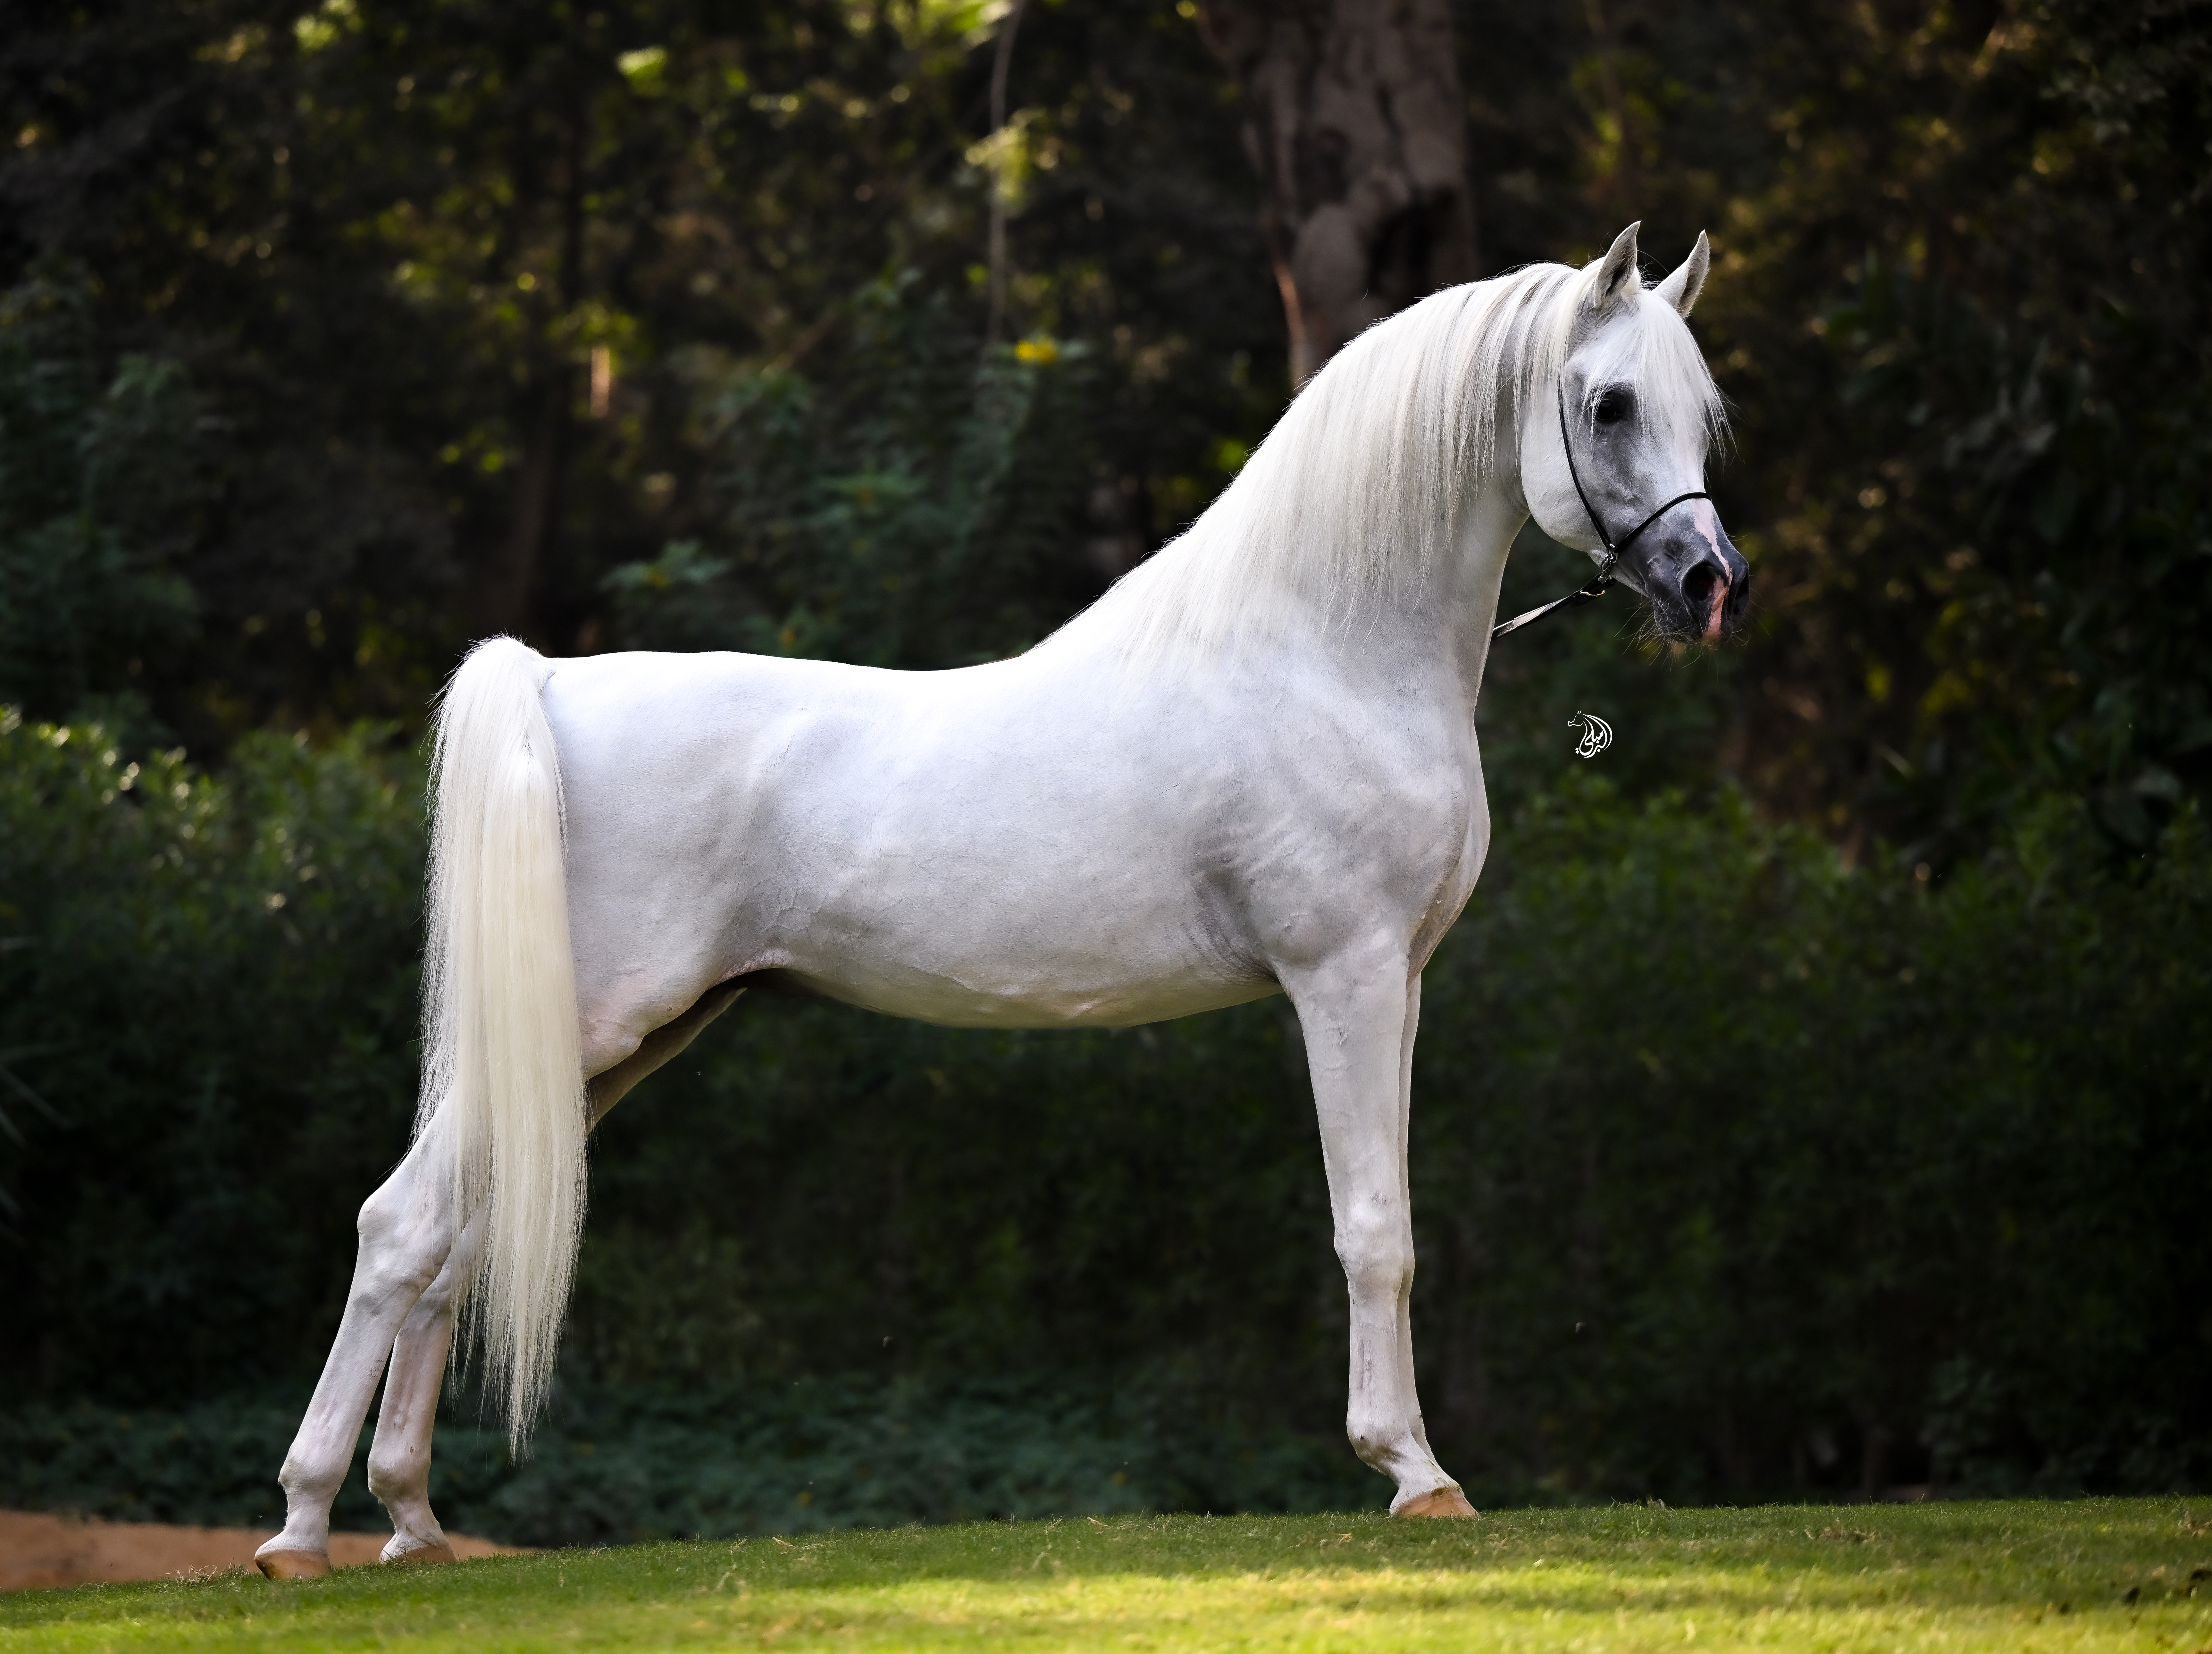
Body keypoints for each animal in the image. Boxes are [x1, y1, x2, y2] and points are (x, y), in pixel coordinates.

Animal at [253, 221, 1746, 1577]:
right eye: (1610, 404)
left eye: (1699, 410)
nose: (1707, 584)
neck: (1321, 651)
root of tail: (553, 680)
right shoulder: (1348, 973)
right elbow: (1377, 1228)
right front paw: (1415, 1473)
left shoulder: (1405, 983)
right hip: (593, 1022)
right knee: (399, 1224)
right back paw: (301, 1526)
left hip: (612, 1040)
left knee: (454, 1233)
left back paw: (412, 1522)